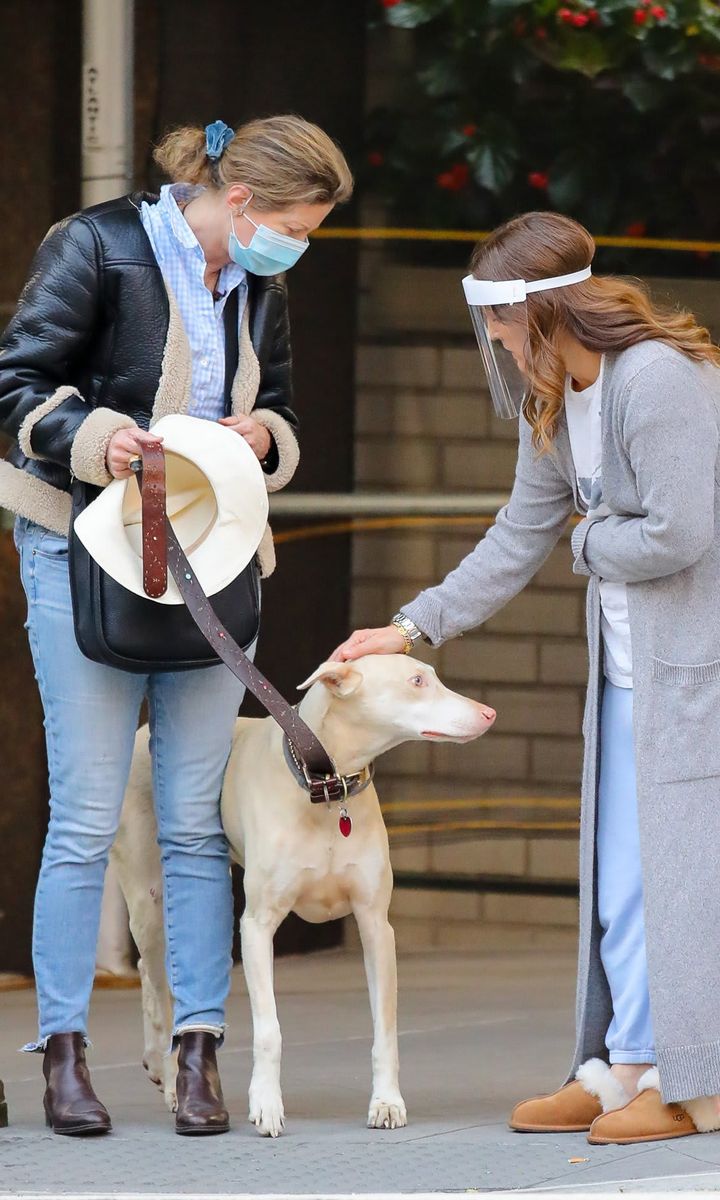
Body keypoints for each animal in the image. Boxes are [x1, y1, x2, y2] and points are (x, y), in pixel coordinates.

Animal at [112, 657, 494, 1132]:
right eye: (417, 681)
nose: (488, 713)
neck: (327, 788)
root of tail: (144, 733)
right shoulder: (257, 927)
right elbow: (269, 1029)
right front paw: (266, 1104)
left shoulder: (376, 926)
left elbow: (385, 1028)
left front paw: (386, 1102)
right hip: (149, 894)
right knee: (154, 971)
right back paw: (166, 1072)